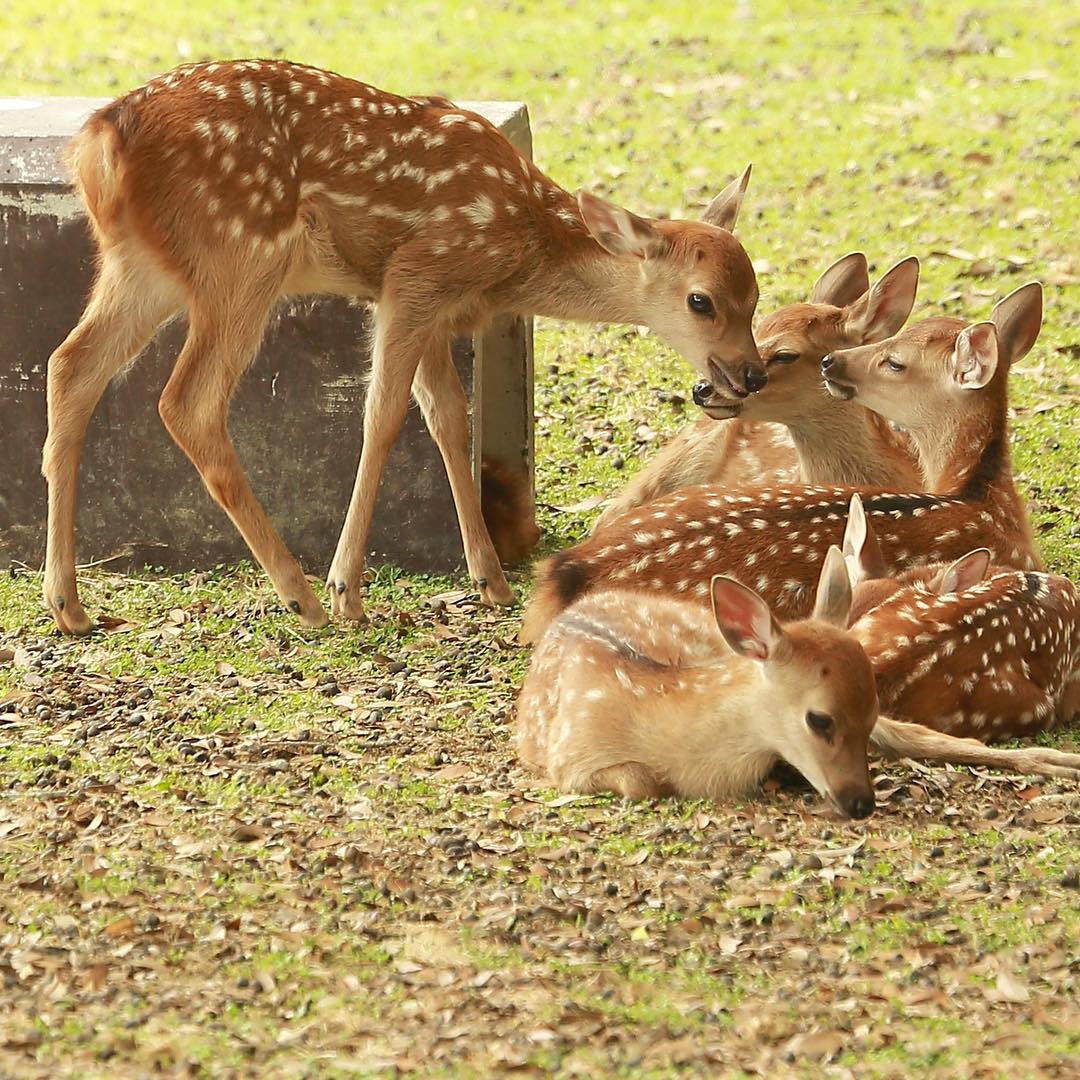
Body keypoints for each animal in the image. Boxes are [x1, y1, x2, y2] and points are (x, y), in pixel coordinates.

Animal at [41, 58, 763, 635]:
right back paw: (302, 596)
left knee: (69, 365)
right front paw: (348, 590)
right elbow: (384, 415)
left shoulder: (437, 310)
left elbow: (447, 418)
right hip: (241, 255)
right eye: (701, 301)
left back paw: (70, 605)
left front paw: (491, 580)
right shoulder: (415, 275)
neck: (519, 246)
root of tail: (101, 140)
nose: (752, 373)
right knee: (186, 402)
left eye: (755, 296)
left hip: (141, 265)